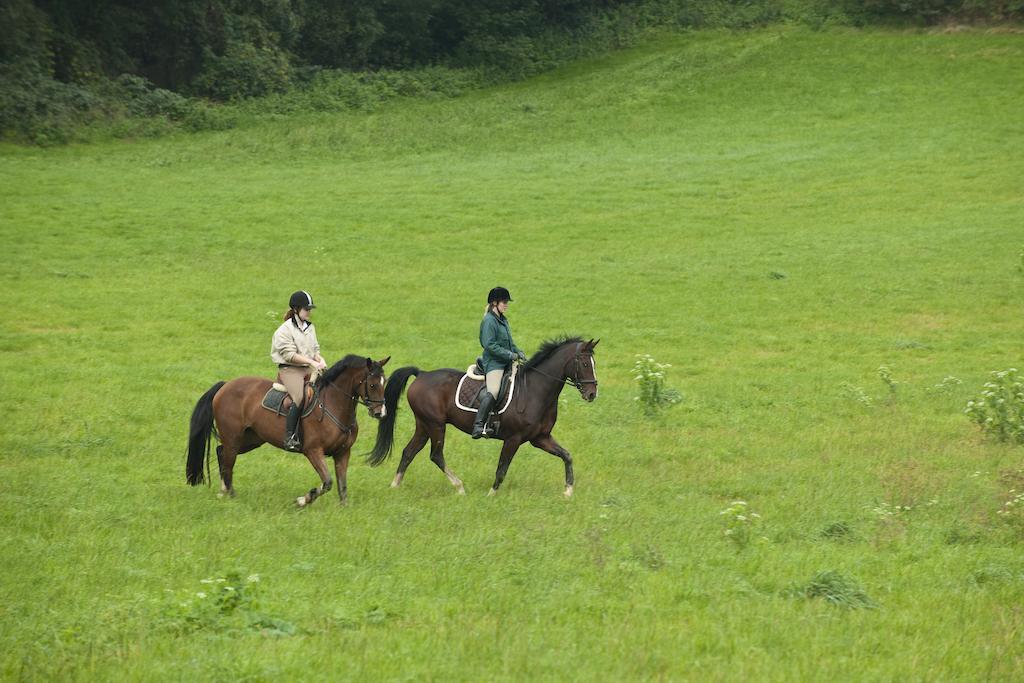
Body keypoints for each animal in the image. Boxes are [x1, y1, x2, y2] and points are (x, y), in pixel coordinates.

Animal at [186, 356, 389, 505]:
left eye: (384, 382)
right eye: (372, 384)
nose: (380, 413)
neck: (333, 404)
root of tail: (225, 385)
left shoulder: (343, 453)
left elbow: (342, 484)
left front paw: (343, 508)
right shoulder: (313, 451)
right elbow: (328, 482)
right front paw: (302, 500)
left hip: (251, 439)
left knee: (221, 453)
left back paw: (225, 492)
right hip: (233, 438)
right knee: (228, 461)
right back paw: (230, 495)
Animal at [368, 335, 598, 497]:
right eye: (585, 364)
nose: (592, 394)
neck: (535, 390)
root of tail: (421, 374)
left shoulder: (540, 438)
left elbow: (567, 455)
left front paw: (568, 491)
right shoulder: (513, 439)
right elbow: (502, 469)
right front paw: (491, 494)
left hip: (423, 425)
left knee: (409, 452)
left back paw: (395, 486)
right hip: (435, 425)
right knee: (436, 455)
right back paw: (459, 487)